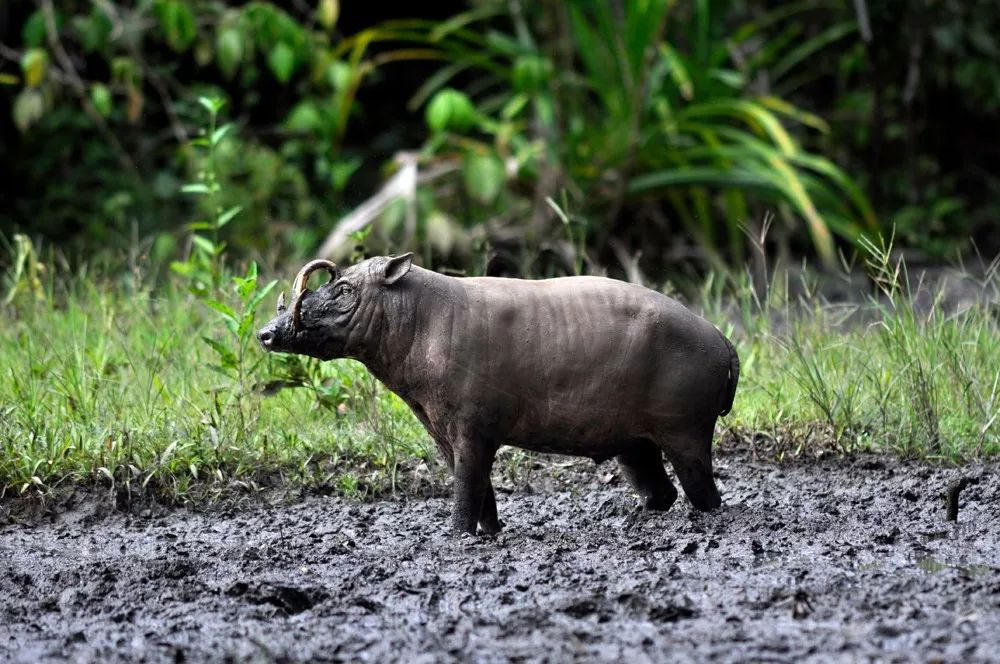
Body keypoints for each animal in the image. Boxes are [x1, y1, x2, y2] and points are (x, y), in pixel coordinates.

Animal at [258, 254, 740, 536]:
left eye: (343, 290)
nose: (266, 333)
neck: (419, 322)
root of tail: (725, 343)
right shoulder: (445, 430)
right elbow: (474, 482)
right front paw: (489, 532)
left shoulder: (472, 426)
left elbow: (466, 483)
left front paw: (457, 535)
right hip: (634, 443)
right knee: (662, 493)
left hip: (685, 429)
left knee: (705, 495)